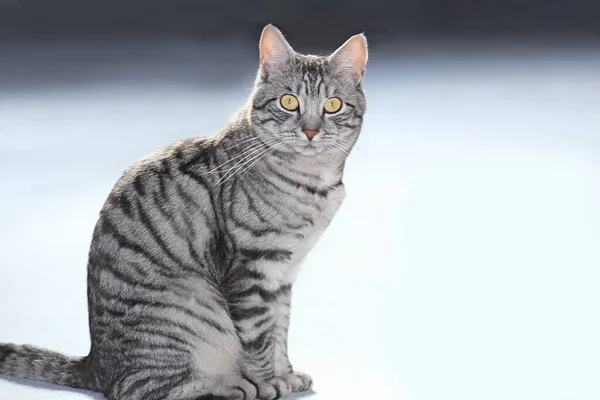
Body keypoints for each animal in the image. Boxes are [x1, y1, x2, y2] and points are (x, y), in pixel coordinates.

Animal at [0, 25, 368, 400]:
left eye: (333, 105)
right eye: (289, 102)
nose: (311, 130)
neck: (313, 185)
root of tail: (95, 365)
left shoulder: (282, 275)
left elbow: (279, 331)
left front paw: (287, 374)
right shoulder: (253, 271)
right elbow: (260, 337)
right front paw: (268, 382)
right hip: (189, 315)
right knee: (141, 388)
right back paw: (230, 385)